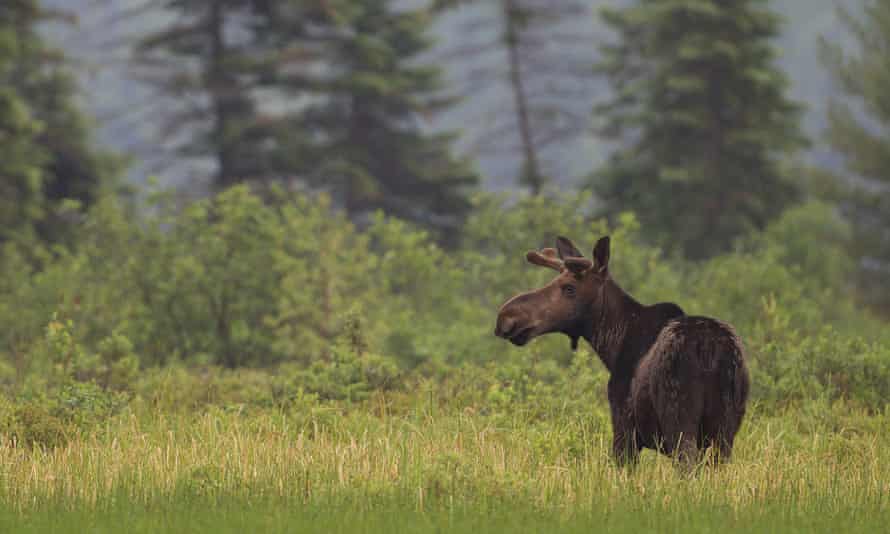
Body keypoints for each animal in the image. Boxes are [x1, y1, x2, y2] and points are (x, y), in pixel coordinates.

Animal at [496, 236, 744, 468]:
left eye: (569, 287)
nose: (506, 316)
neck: (611, 347)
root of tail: (709, 349)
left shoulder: (624, 427)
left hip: (680, 422)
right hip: (725, 429)